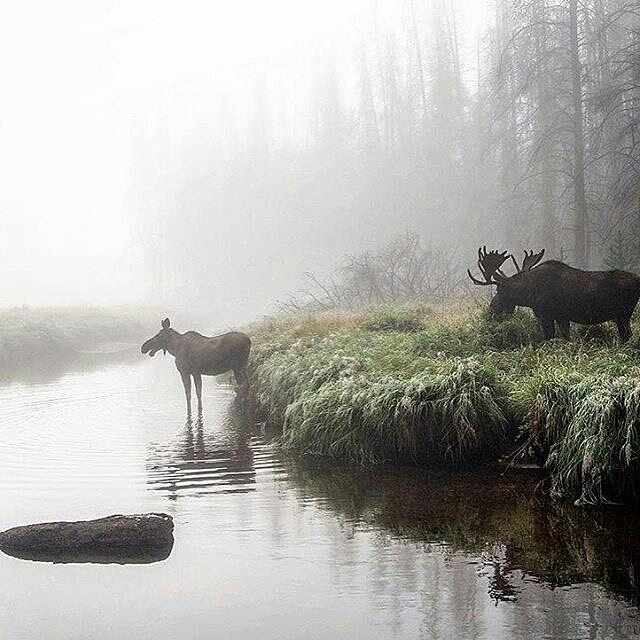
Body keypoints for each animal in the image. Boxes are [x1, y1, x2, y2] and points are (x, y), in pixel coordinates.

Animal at [464, 248, 640, 342]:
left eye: (499, 291)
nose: (492, 306)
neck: (529, 295)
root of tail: (638, 280)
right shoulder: (562, 317)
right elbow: (567, 337)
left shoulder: (546, 315)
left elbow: (548, 338)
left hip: (623, 314)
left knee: (627, 335)